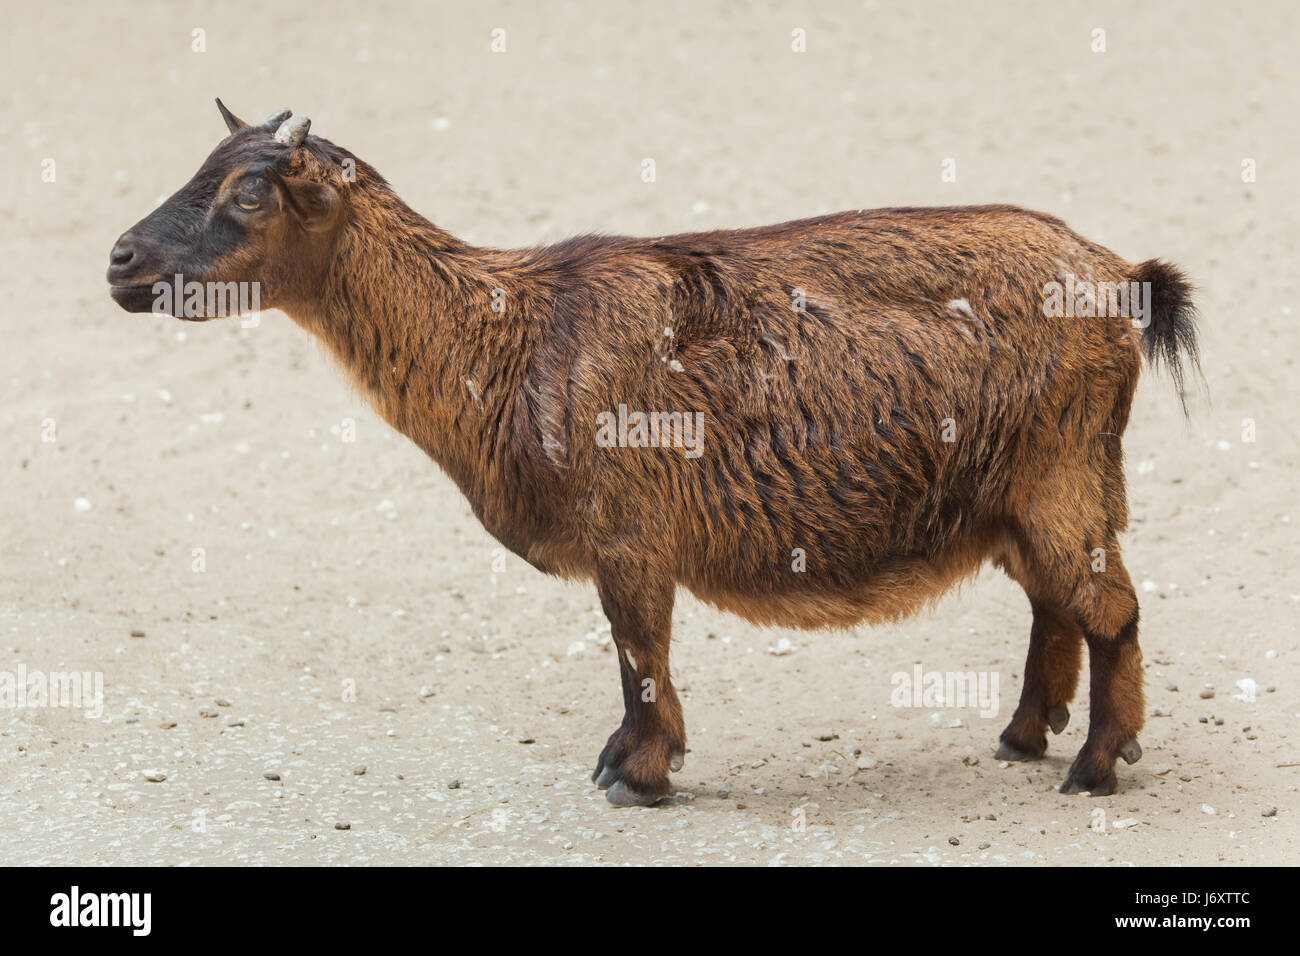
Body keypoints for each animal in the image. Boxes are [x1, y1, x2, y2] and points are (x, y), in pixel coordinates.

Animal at [109, 102, 1196, 806]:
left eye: (250, 192)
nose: (122, 260)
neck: (512, 334)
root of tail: (1120, 278)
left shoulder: (629, 533)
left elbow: (637, 646)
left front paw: (636, 770)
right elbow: (635, 649)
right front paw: (633, 761)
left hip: (1058, 476)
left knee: (1111, 609)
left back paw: (1095, 764)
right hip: (1023, 494)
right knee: (1059, 604)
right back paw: (1022, 734)